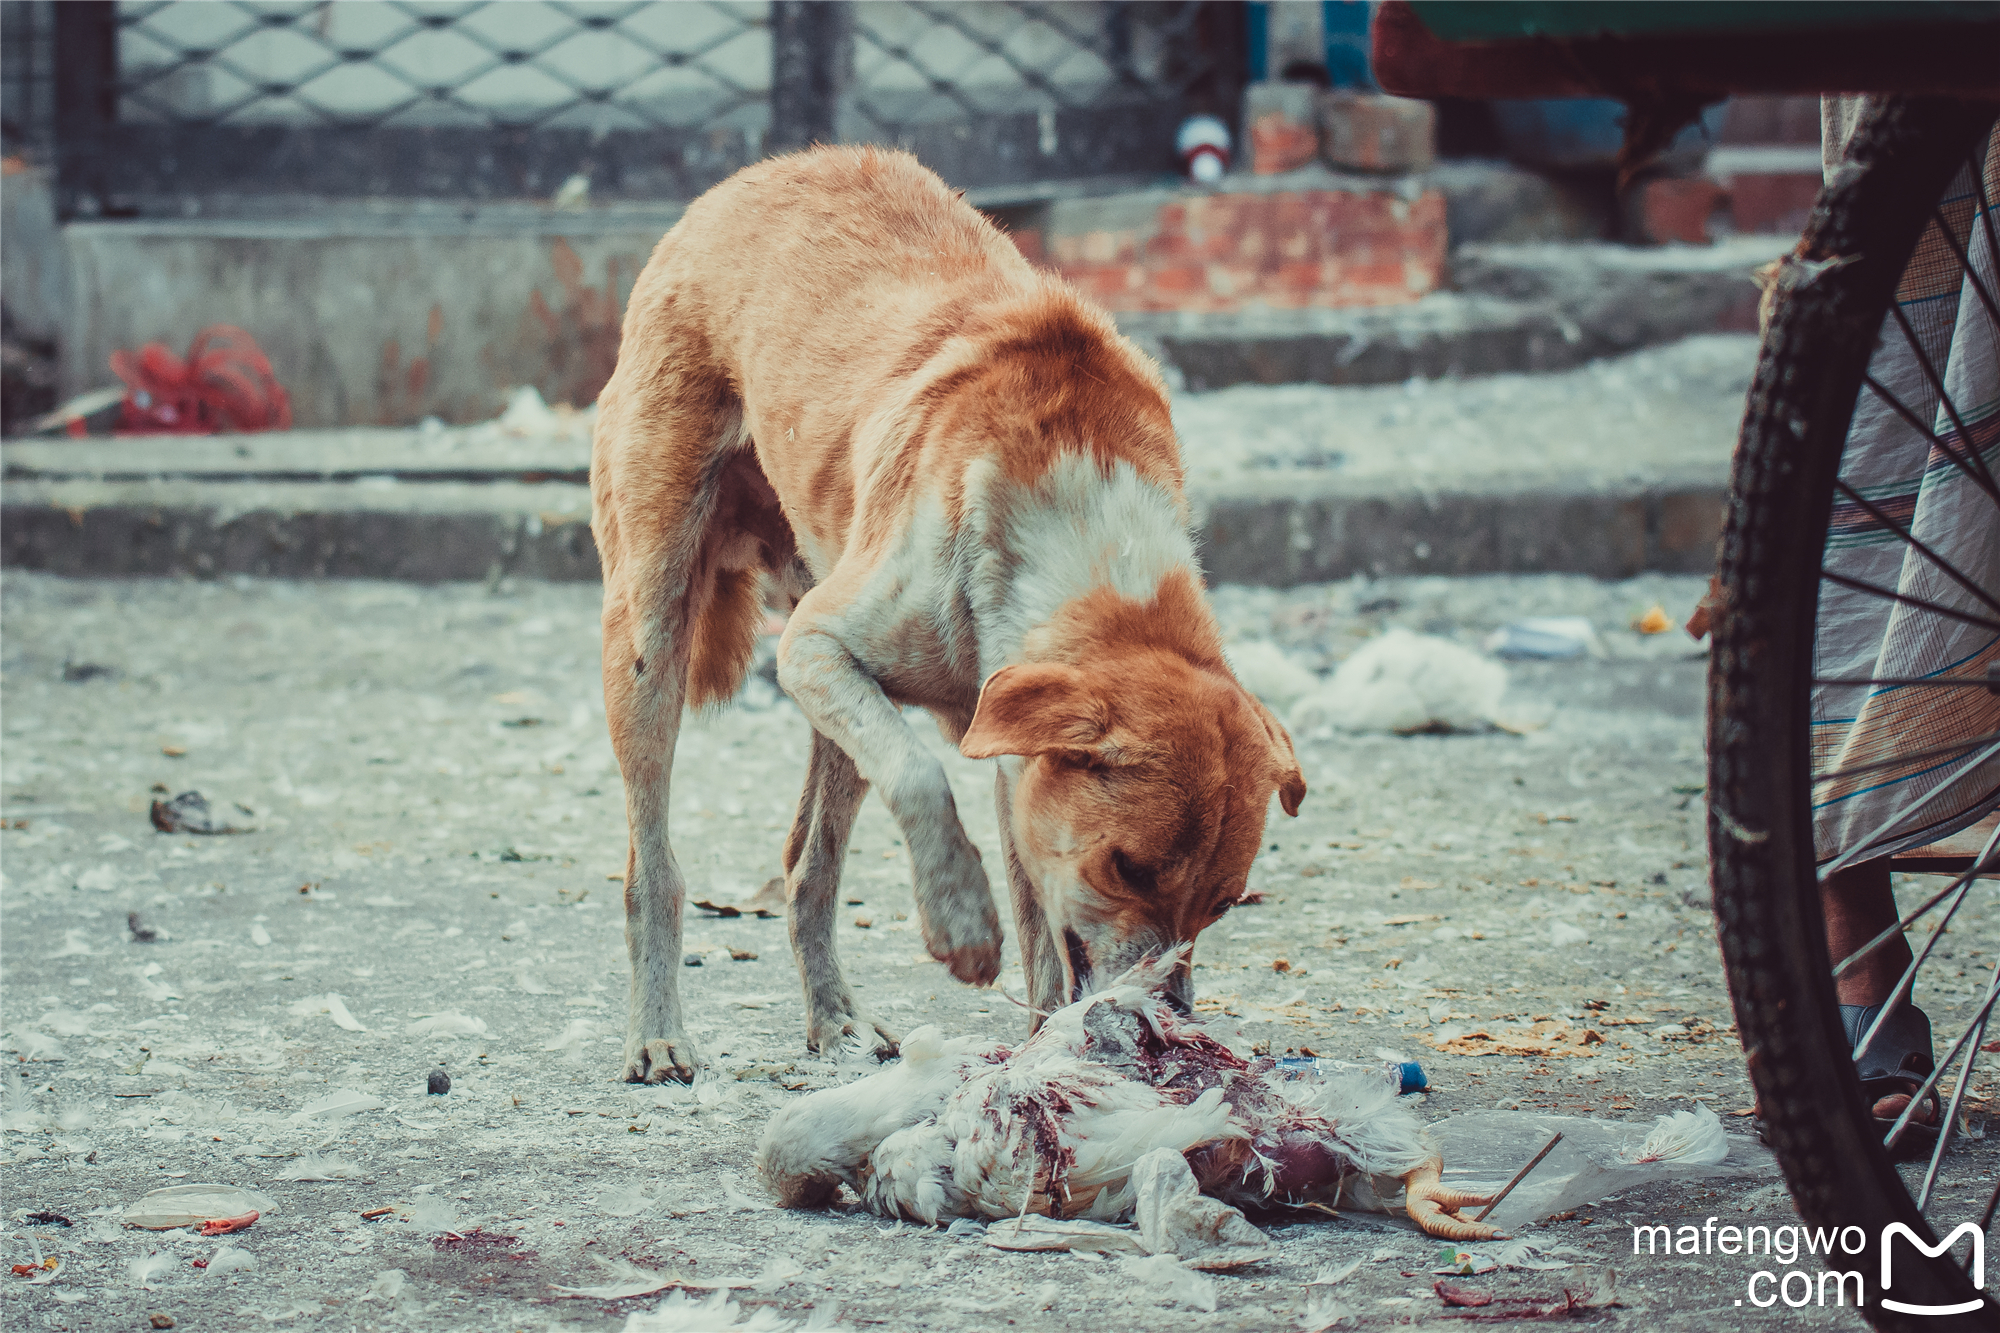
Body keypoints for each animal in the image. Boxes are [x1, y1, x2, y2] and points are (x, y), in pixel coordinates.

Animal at [588, 145, 1312, 1080]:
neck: (1079, 506)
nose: (1169, 1020)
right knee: (655, 869)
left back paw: (835, 1016)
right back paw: (657, 1031)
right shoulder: (814, 647)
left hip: (831, 699)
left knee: (809, 866)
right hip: (654, 635)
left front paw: (1045, 1056)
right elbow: (922, 775)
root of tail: (751, 175)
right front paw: (964, 923)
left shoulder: (1016, 763)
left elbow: (1043, 936)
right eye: (1125, 868)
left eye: (1222, 903)